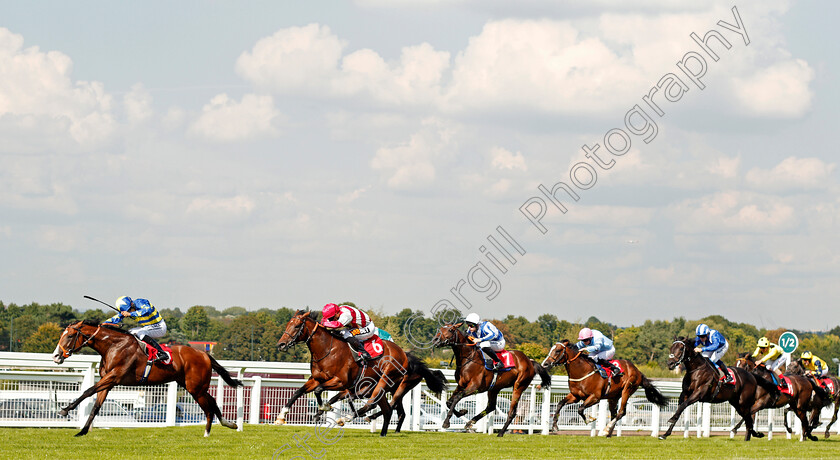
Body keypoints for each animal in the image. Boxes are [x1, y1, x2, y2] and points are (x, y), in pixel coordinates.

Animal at [52, 318, 241, 436]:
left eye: (70, 335)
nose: (56, 356)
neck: (113, 346)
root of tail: (204, 354)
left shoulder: (113, 377)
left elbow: (88, 391)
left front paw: (64, 409)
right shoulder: (108, 382)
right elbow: (96, 406)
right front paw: (82, 431)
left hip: (195, 388)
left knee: (208, 408)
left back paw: (207, 433)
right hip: (194, 386)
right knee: (213, 401)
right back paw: (229, 423)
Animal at [278, 310, 440, 434]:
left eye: (297, 326)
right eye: (287, 325)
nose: (281, 344)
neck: (327, 350)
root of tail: (404, 355)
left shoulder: (340, 382)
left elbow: (319, 390)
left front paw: (323, 408)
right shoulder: (316, 379)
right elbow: (298, 391)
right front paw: (281, 415)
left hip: (388, 382)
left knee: (377, 405)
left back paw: (348, 418)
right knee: (390, 410)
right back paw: (383, 431)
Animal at [540, 338, 668, 434]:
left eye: (558, 350)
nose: (545, 364)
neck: (582, 371)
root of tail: (638, 371)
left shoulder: (595, 397)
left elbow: (580, 409)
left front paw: (589, 419)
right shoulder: (575, 396)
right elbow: (560, 404)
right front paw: (555, 426)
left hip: (627, 390)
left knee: (621, 412)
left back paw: (606, 429)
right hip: (613, 397)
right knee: (614, 413)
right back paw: (608, 433)